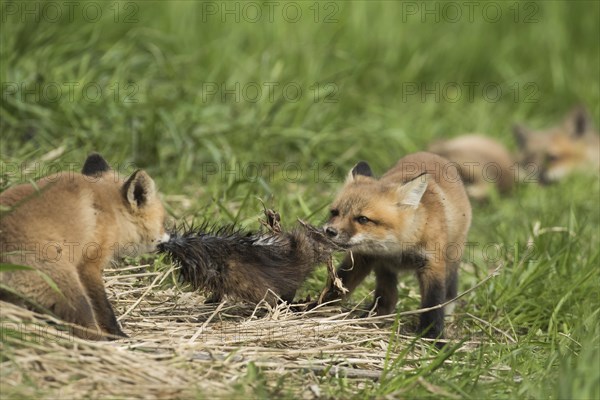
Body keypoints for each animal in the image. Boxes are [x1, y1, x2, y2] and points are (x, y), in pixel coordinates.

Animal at [0, 155, 169, 340]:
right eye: (163, 222)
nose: (170, 238)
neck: (111, 210)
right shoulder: (88, 265)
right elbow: (104, 308)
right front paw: (118, 334)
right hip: (68, 288)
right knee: (85, 327)